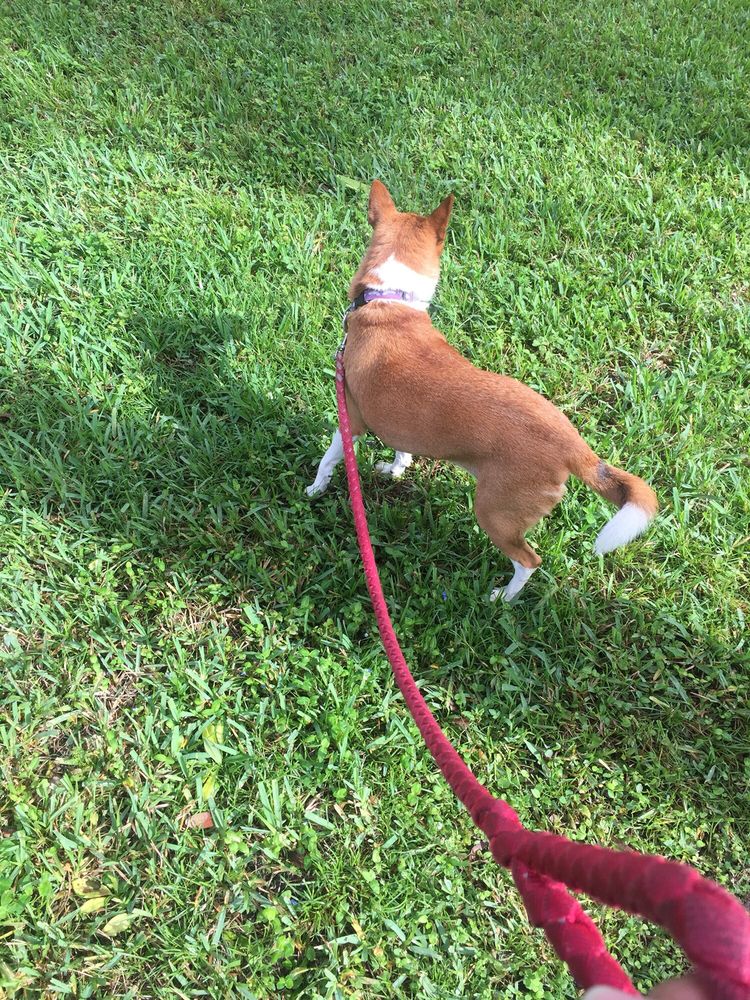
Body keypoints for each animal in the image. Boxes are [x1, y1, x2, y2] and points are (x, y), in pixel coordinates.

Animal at [306, 181, 658, 600]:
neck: (390, 301)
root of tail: (574, 446)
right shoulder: (402, 424)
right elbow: (403, 449)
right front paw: (395, 469)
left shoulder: (352, 420)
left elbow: (329, 458)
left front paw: (315, 488)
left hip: (494, 514)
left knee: (529, 561)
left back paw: (503, 597)